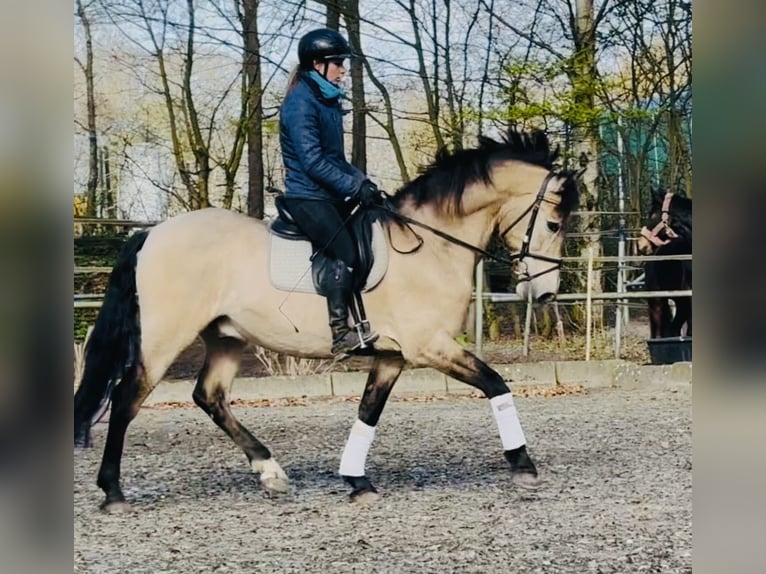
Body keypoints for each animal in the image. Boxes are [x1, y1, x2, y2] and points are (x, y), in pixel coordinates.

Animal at [74, 129, 579, 512]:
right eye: (554, 224)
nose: (544, 293)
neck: (431, 246)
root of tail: (152, 233)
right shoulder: (429, 345)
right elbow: (495, 383)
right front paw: (522, 464)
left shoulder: (394, 355)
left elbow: (368, 412)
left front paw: (357, 481)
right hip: (165, 337)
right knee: (127, 398)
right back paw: (113, 492)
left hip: (226, 336)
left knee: (209, 395)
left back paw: (270, 472)